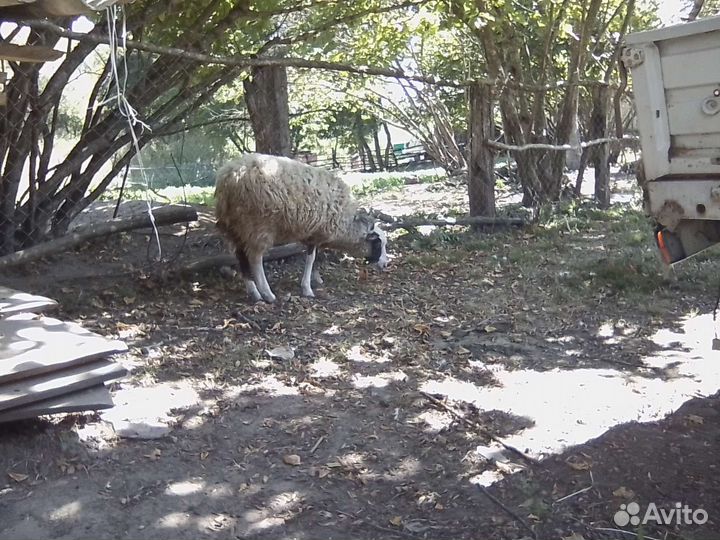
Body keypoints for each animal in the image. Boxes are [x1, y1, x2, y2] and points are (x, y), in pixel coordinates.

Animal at [214, 153, 389, 303]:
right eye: (378, 244)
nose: (385, 264)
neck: (346, 226)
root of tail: (229, 177)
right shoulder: (316, 234)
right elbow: (311, 258)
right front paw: (307, 288)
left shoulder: (315, 233)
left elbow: (318, 257)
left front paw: (317, 279)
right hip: (256, 226)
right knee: (255, 259)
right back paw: (267, 293)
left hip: (235, 227)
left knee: (241, 258)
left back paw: (253, 292)